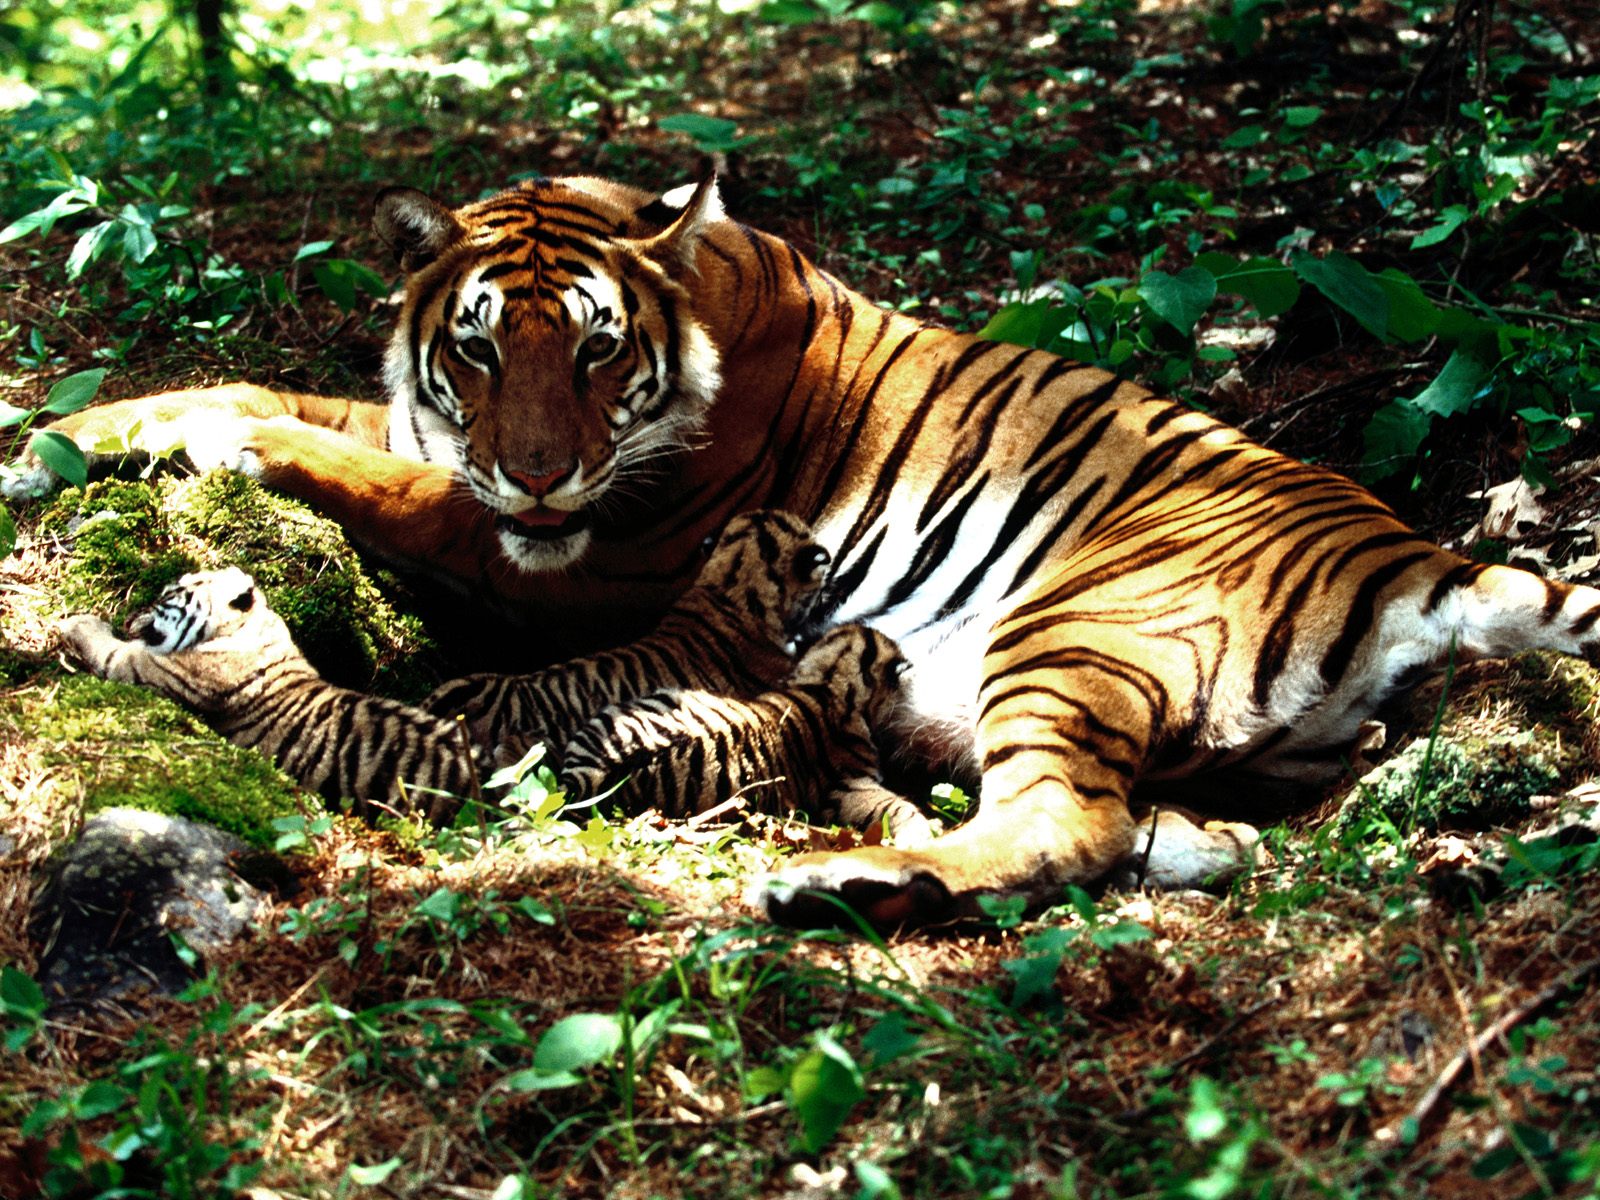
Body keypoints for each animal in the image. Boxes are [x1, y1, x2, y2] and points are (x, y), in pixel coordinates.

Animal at [18, 176, 1600, 928]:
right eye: (476, 347)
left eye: (594, 351)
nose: (540, 470)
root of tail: (1409, 555)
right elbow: (246, 388)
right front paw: (56, 431)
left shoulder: (578, 555)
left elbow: (324, 450)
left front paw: (218, 447)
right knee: (1146, 826)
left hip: (1073, 630)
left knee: (1063, 830)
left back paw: (836, 890)